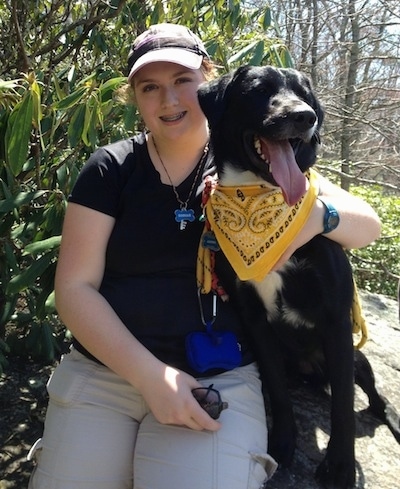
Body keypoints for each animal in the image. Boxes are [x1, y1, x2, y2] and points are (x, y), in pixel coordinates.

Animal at [198, 65, 400, 488]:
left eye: (305, 94)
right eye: (259, 90)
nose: (305, 117)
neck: (261, 196)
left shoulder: (336, 321)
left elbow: (343, 409)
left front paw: (340, 467)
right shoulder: (255, 321)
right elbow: (276, 390)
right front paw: (282, 444)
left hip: (358, 358)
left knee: (375, 398)